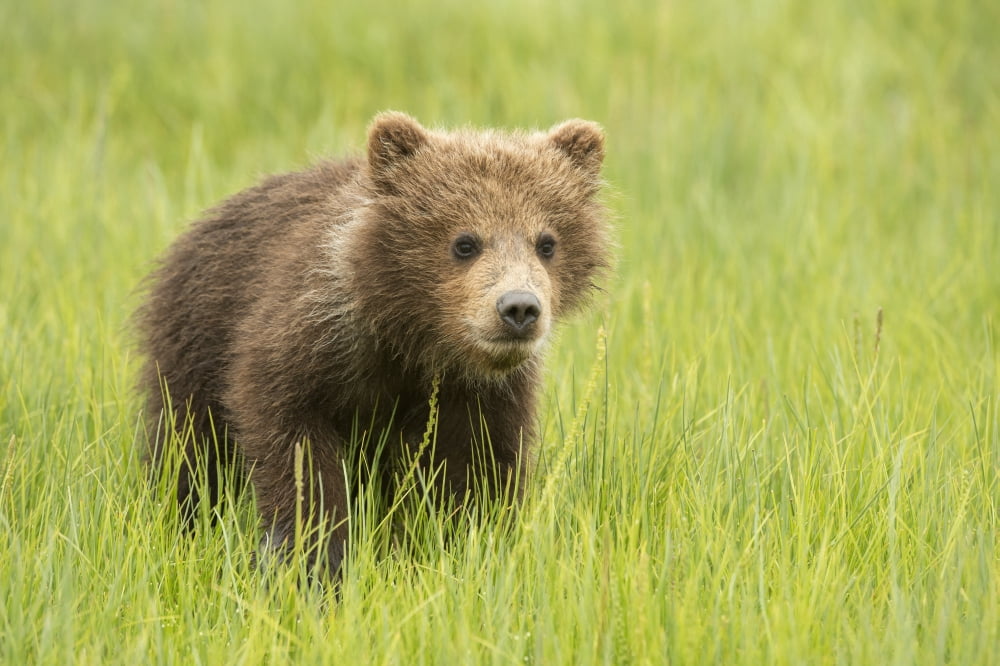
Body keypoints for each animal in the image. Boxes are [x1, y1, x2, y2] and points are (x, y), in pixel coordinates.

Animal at [136, 111, 610, 576]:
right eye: (465, 242)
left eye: (547, 242)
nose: (519, 308)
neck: (415, 340)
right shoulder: (308, 343)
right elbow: (296, 451)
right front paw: (315, 559)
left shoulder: (479, 392)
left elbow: (480, 467)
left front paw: (472, 544)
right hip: (193, 343)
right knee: (189, 449)